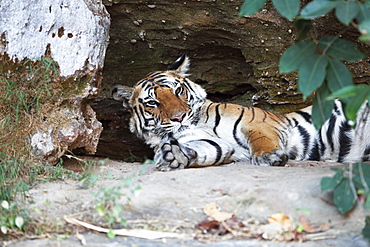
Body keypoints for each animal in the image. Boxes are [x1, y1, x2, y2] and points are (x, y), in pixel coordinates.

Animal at [112, 53, 370, 171]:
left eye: (178, 91)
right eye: (152, 102)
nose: (179, 117)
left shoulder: (260, 122)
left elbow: (261, 139)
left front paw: (268, 156)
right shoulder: (217, 145)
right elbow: (203, 149)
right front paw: (173, 156)